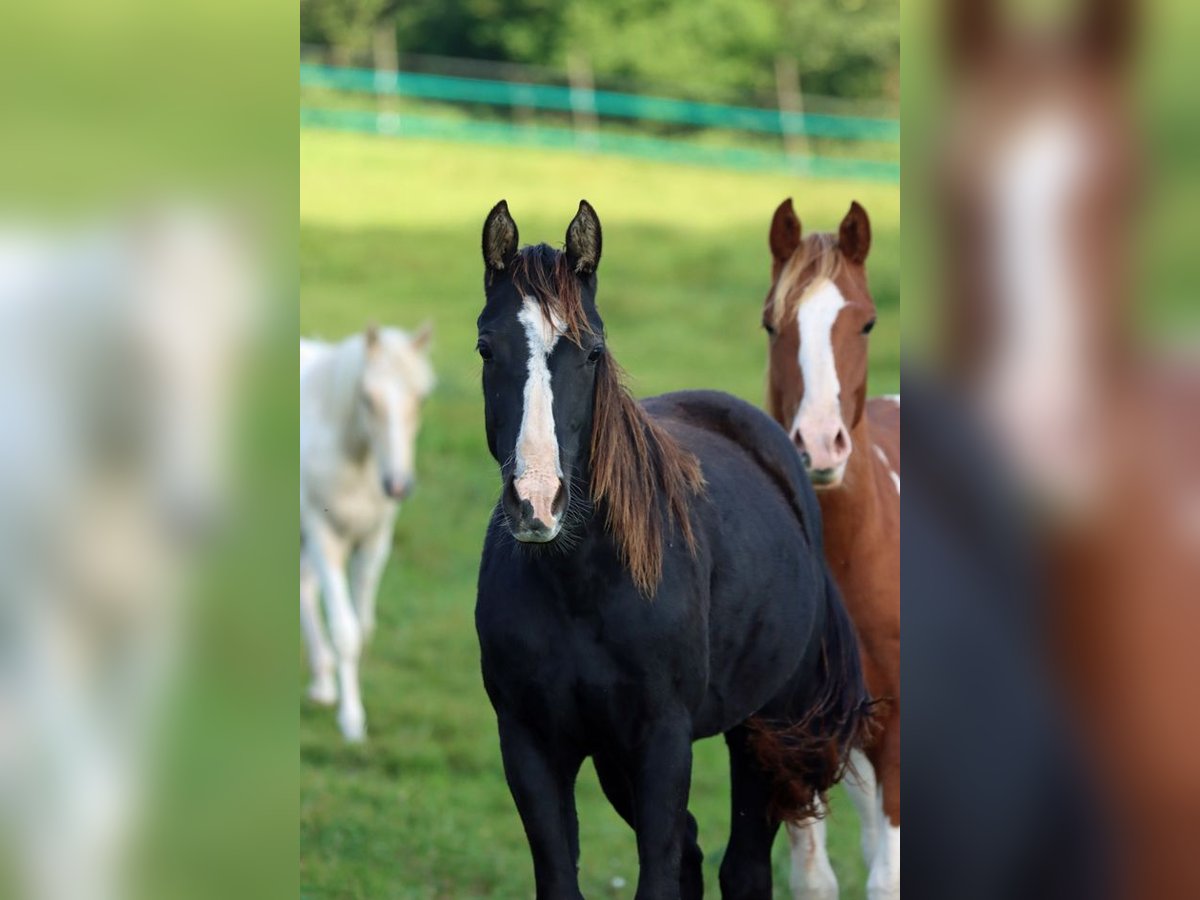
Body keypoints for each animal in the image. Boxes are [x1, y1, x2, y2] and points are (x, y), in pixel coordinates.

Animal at [300, 328, 436, 744]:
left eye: (421, 398)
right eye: (366, 397)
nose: (397, 486)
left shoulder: (374, 541)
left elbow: (362, 627)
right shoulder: (323, 534)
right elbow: (346, 632)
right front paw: (351, 720)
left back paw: (323, 682)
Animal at [472, 200, 868, 897]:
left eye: (593, 351)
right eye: (486, 348)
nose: (537, 501)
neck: (583, 585)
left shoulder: (661, 742)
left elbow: (657, 872)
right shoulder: (531, 744)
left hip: (766, 730)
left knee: (742, 865)